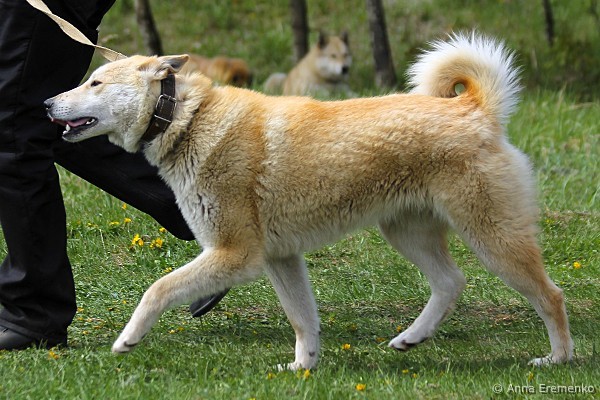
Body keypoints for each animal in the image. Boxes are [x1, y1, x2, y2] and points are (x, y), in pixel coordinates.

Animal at [45, 33, 573, 370]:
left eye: (94, 82)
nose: (47, 103)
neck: (186, 120)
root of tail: (474, 108)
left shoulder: (235, 254)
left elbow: (157, 289)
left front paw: (128, 338)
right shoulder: (280, 257)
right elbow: (303, 319)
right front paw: (304, 368)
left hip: (492, 236)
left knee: (550, 295)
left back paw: (558, 358)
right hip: (406, 231)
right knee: (450, 282)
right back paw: (412, 337)